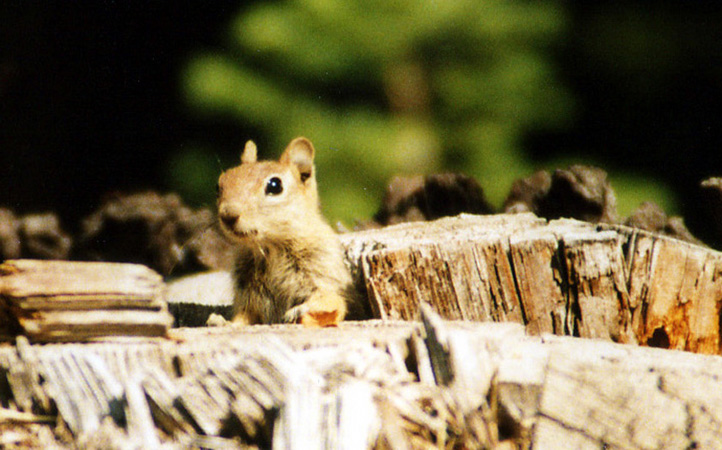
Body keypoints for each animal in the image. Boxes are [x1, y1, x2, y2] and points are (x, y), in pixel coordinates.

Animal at [216, 137, 358, 326]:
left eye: (275, 186)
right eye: (219, 186)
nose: (227, 216)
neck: (271, 248)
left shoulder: (324, 273)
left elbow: (331, 302)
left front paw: (299, 310)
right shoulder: (247, 292)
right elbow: (243, 317)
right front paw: (222, 322)